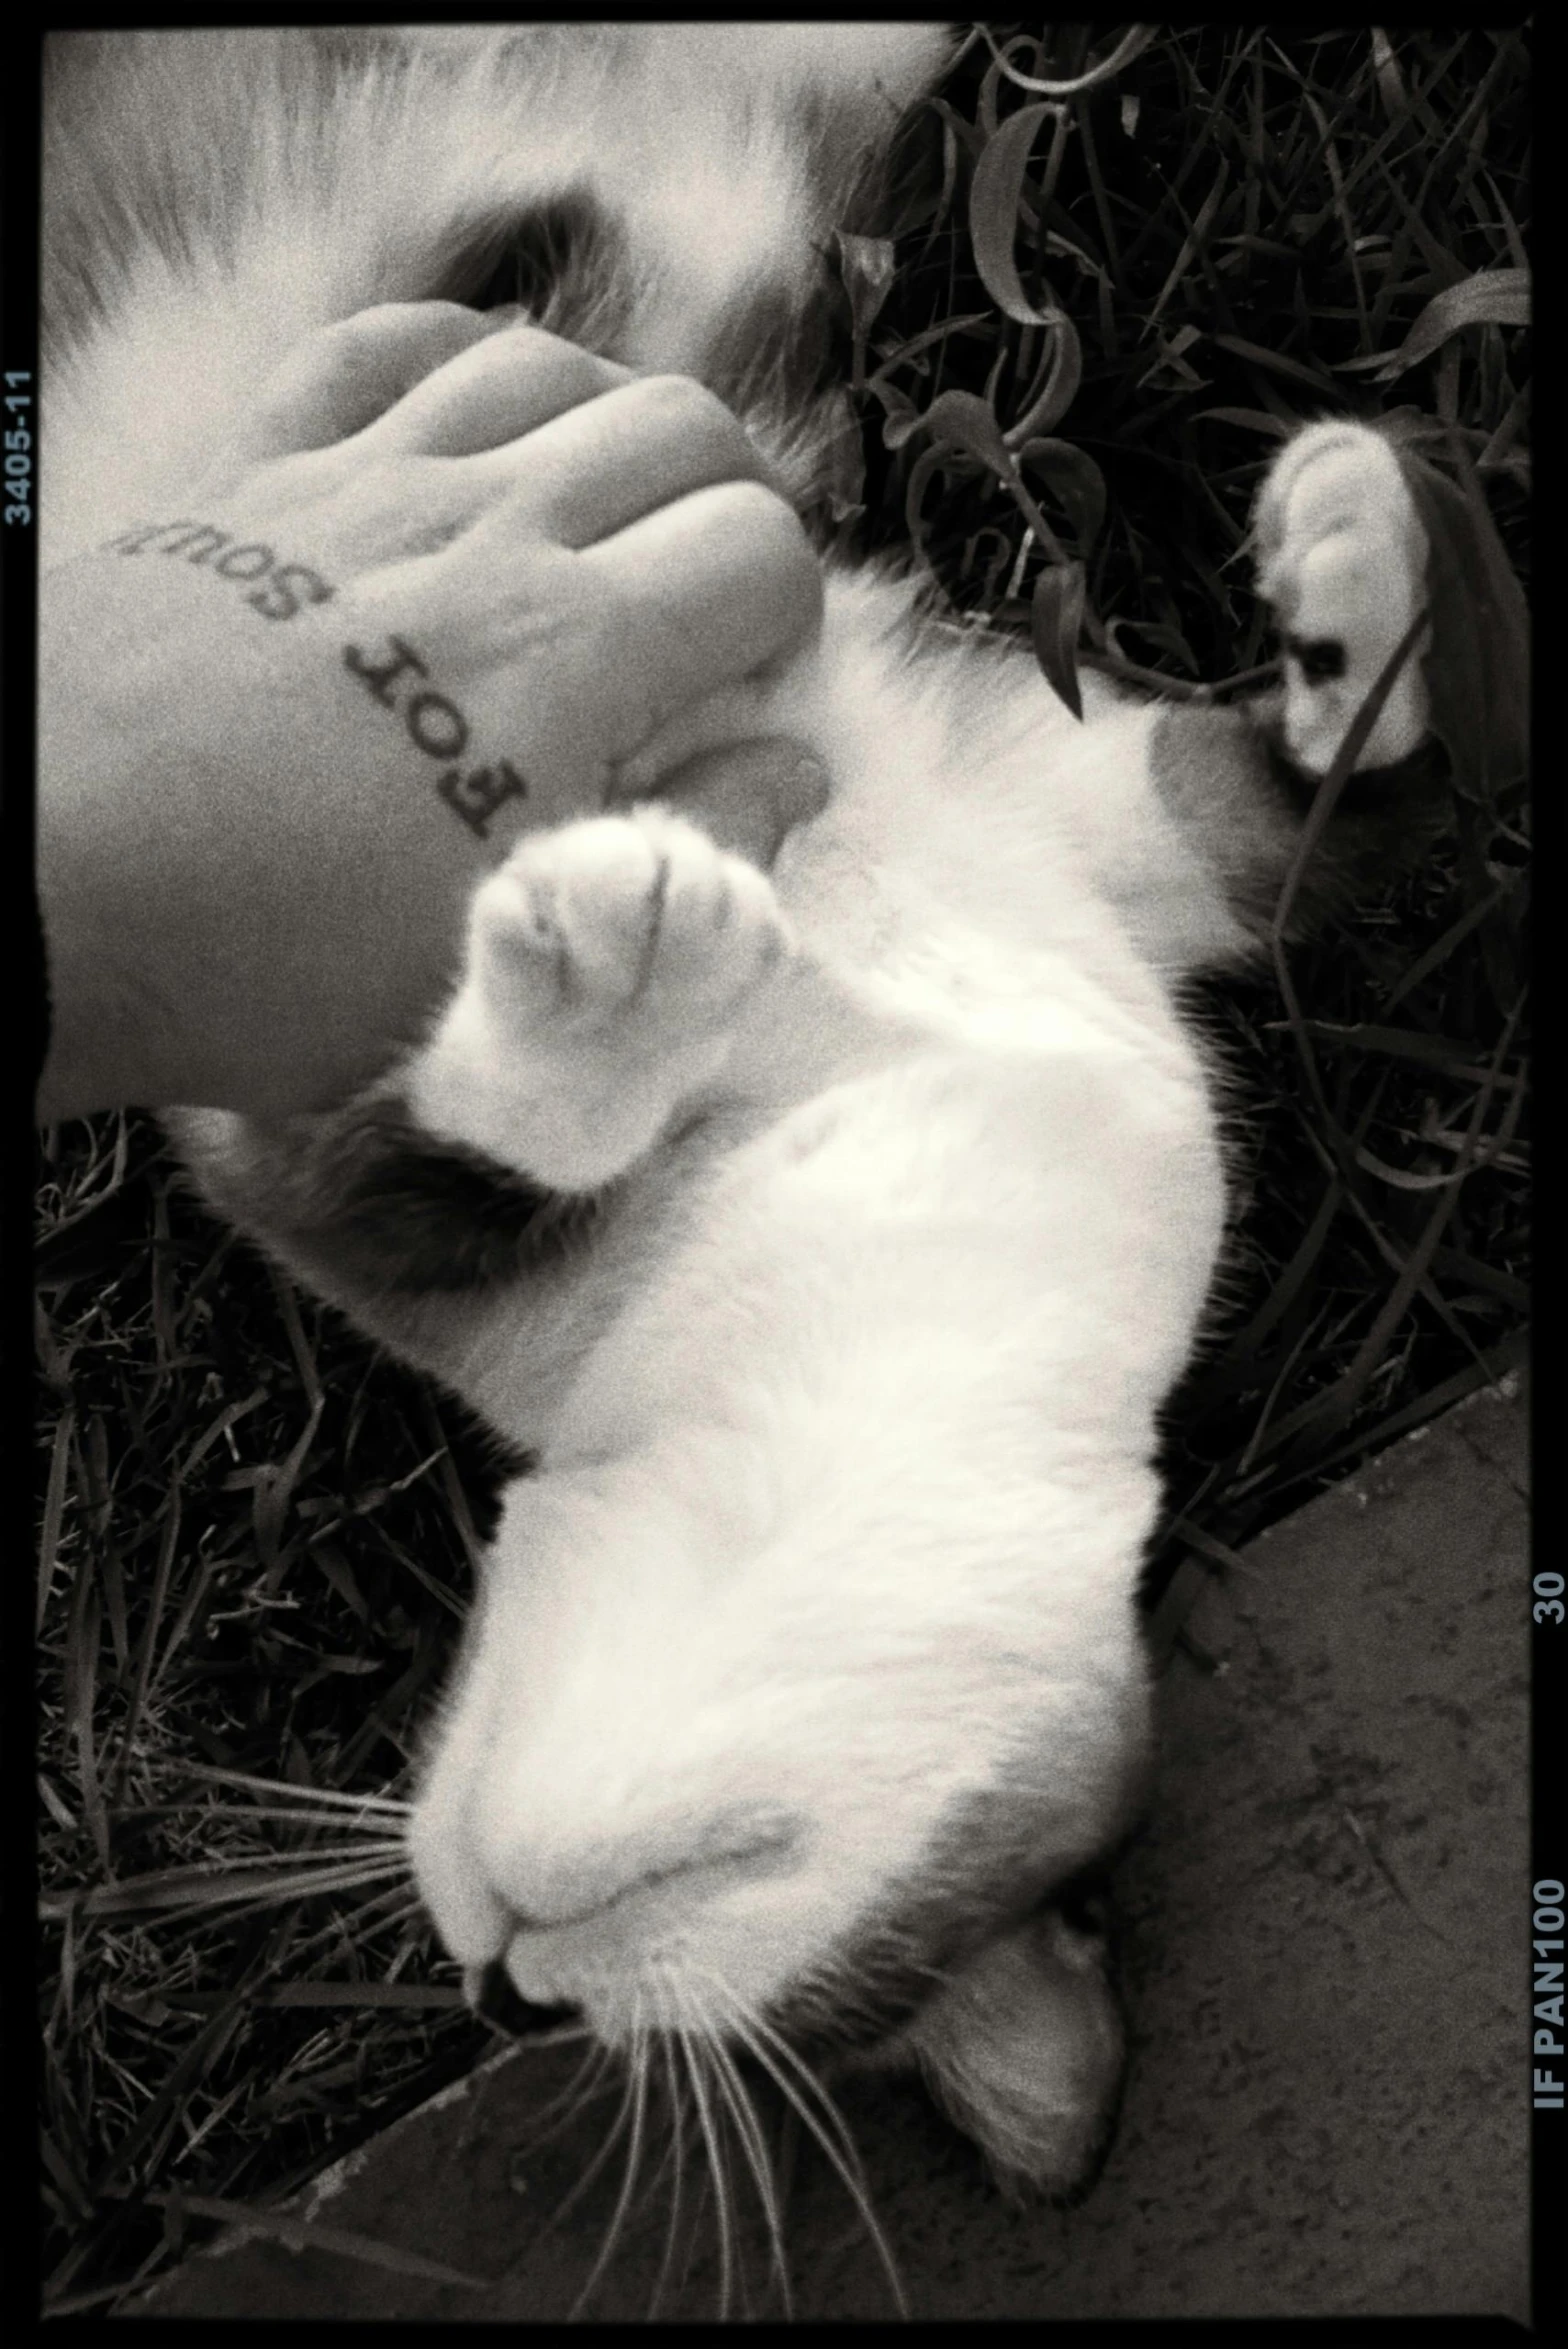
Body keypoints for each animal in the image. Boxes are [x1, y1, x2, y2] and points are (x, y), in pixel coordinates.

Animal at [36, 22, 1492, 2217]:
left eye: (664, 1967)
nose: (490, 1986)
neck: (927, 1103)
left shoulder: (293, 1100)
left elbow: (451, 1142)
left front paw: (615, 961)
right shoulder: (1087, 831)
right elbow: (1372, 786)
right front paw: (1360, 561)